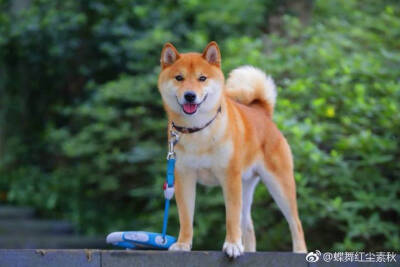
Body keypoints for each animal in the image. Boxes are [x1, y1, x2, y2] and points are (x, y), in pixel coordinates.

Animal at [156, 42, 306, 260]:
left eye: (202, 78)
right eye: (179, 78)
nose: (190, 95)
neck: (198, 130)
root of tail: (262, 113)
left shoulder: (230, 177)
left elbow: (231, 218)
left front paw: (233, 245)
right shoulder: (184, 177)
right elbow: (186, 217)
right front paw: (183, 244)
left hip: (279, 184)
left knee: (296, 222)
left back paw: (300, 252)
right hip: (247, 185)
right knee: (249, 226)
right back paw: (250, 250)